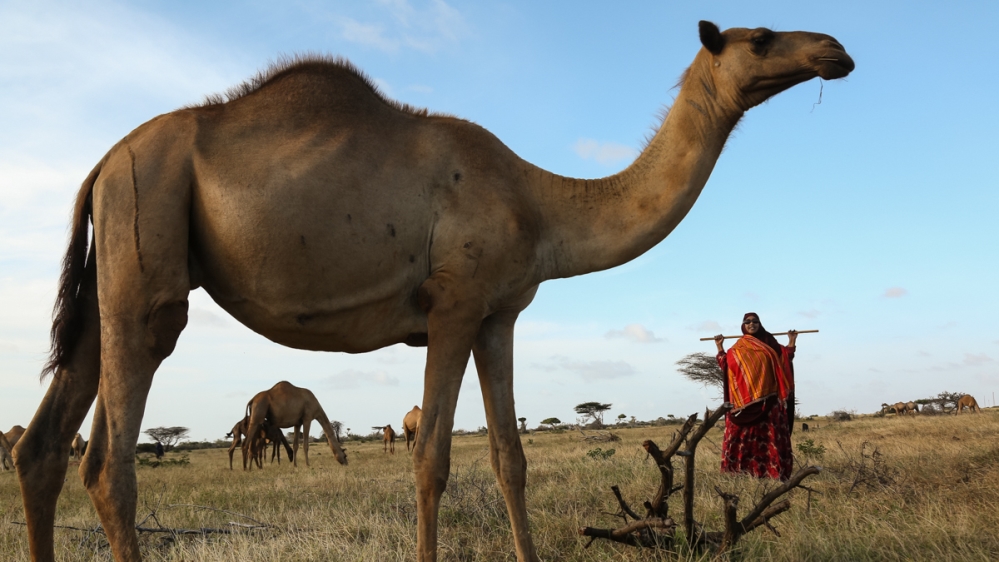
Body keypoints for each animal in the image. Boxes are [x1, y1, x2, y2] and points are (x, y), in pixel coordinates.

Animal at [14, 20, 853, 562]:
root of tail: (101, 163)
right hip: (147, 243)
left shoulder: (497, 316)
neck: (537, 201)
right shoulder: (451, 306)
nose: (835, 49)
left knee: (42, 445)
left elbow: (511, 458)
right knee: (109, 458)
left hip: (106, 276)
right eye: (759, 37)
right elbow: (432, 461)